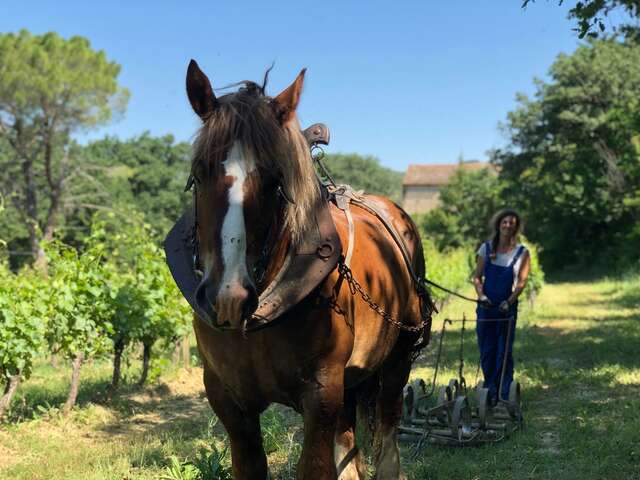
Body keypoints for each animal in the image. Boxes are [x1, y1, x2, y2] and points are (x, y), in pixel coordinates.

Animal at [180, 61, 430, 480]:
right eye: (199, 173)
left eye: (275, 179)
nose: (229, 297)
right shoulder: (228, 399)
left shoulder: (321, 392)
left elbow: (316, 466)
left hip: (397, 357)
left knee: (388, 424)